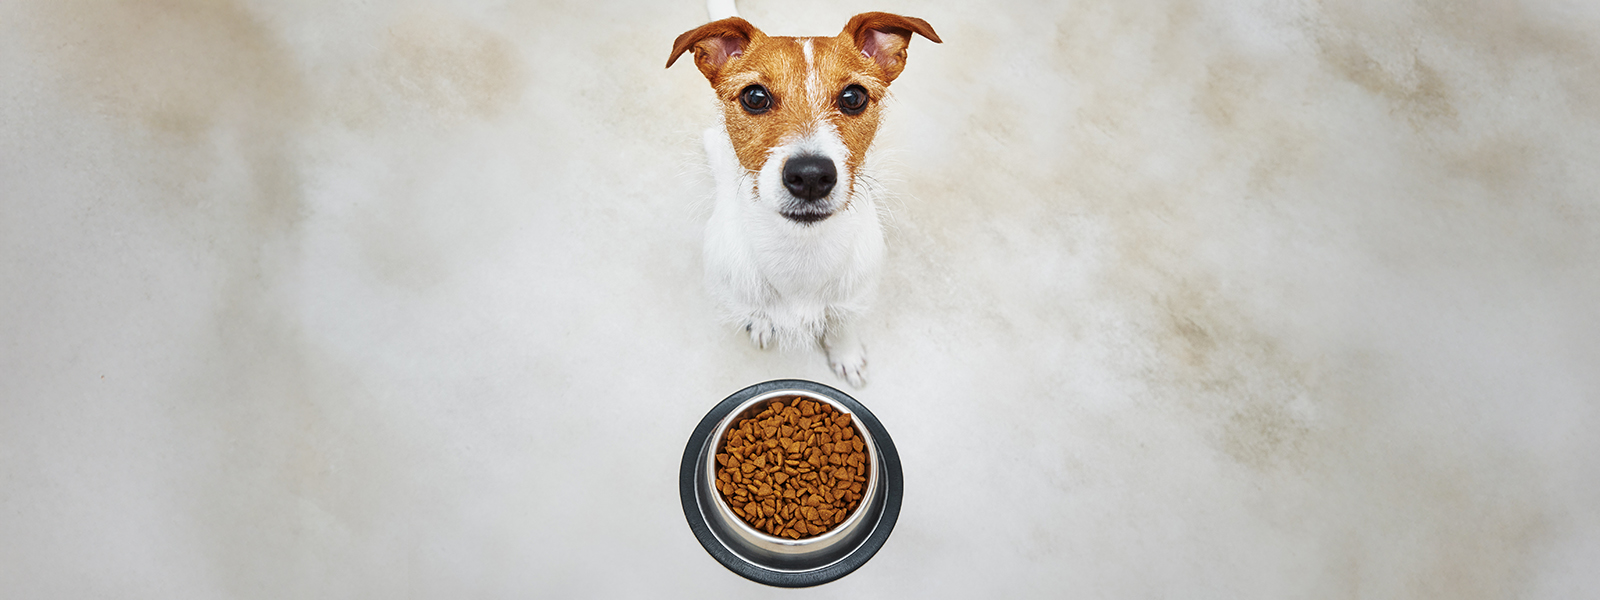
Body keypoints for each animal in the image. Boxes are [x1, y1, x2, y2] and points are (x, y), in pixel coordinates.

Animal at [665, 5, 934, 390]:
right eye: (754, 97)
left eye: (853, 97)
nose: (810, 176)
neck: (801, 251)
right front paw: (762, 322)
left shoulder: (852, 298)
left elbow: (844, 322)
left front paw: (846, 354)